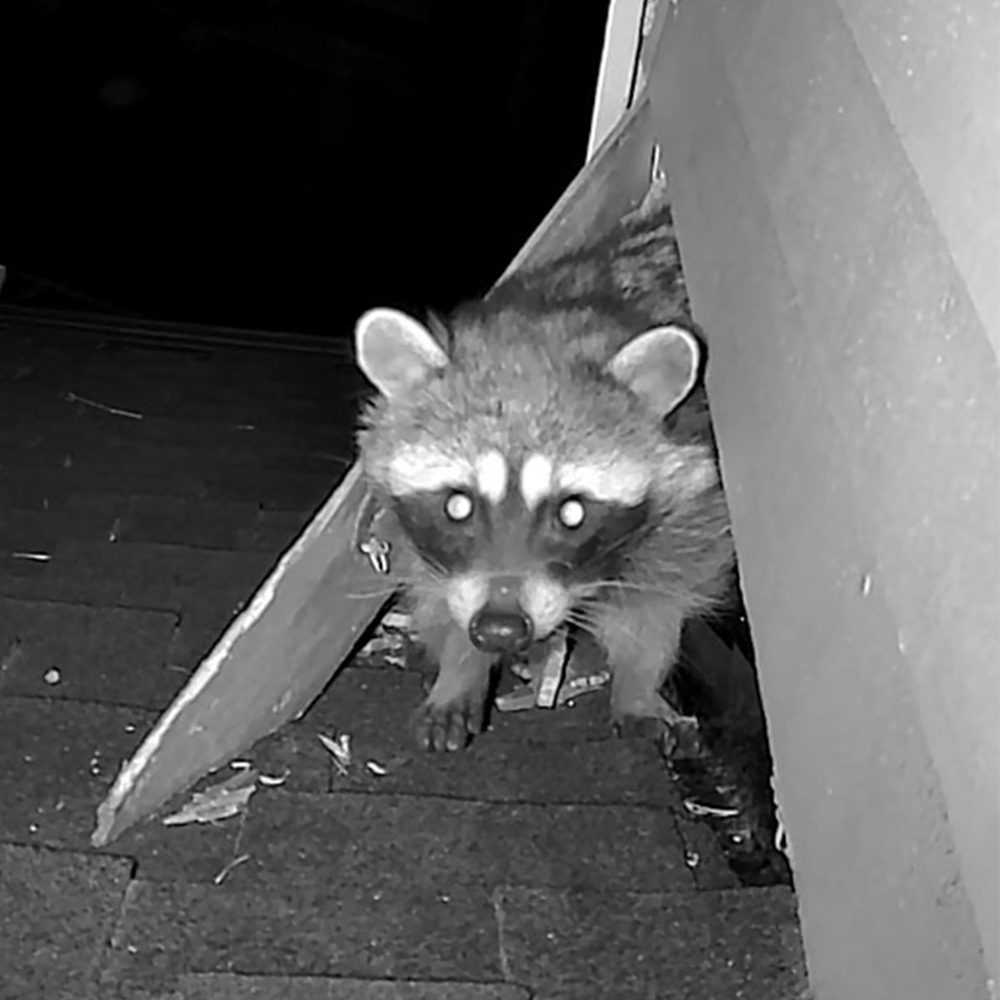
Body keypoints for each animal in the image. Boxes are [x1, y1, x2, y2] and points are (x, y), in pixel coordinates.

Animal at [354, 200, 734, 752]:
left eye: (571, 511)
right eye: (458, 504)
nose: (501, 629)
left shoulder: (694, 495)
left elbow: (658, 603)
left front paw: (640, 683)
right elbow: (439, 589)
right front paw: (460, 664)